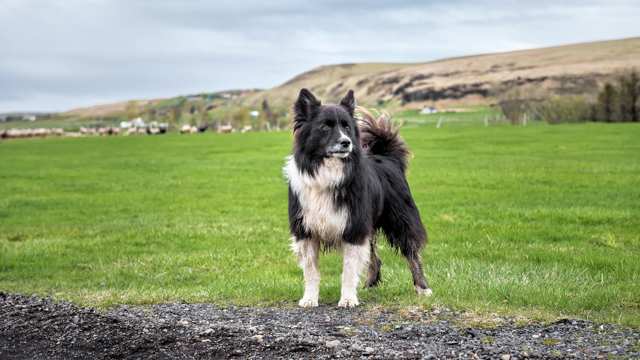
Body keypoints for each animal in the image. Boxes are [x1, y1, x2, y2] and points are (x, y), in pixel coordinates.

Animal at [284, 88, 430, 306]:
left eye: (346, 126)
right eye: (324, 127)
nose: (346, 142)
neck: (328, 171)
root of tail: (388, 157)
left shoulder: (354, 227)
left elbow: (349, 270)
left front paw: (347, 299)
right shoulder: (306, 230)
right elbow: (311, 271)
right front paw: (309, 299)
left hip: (400, 220)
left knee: (412, 253)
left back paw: (423, 287)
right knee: (375, 257)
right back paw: (369, 285)